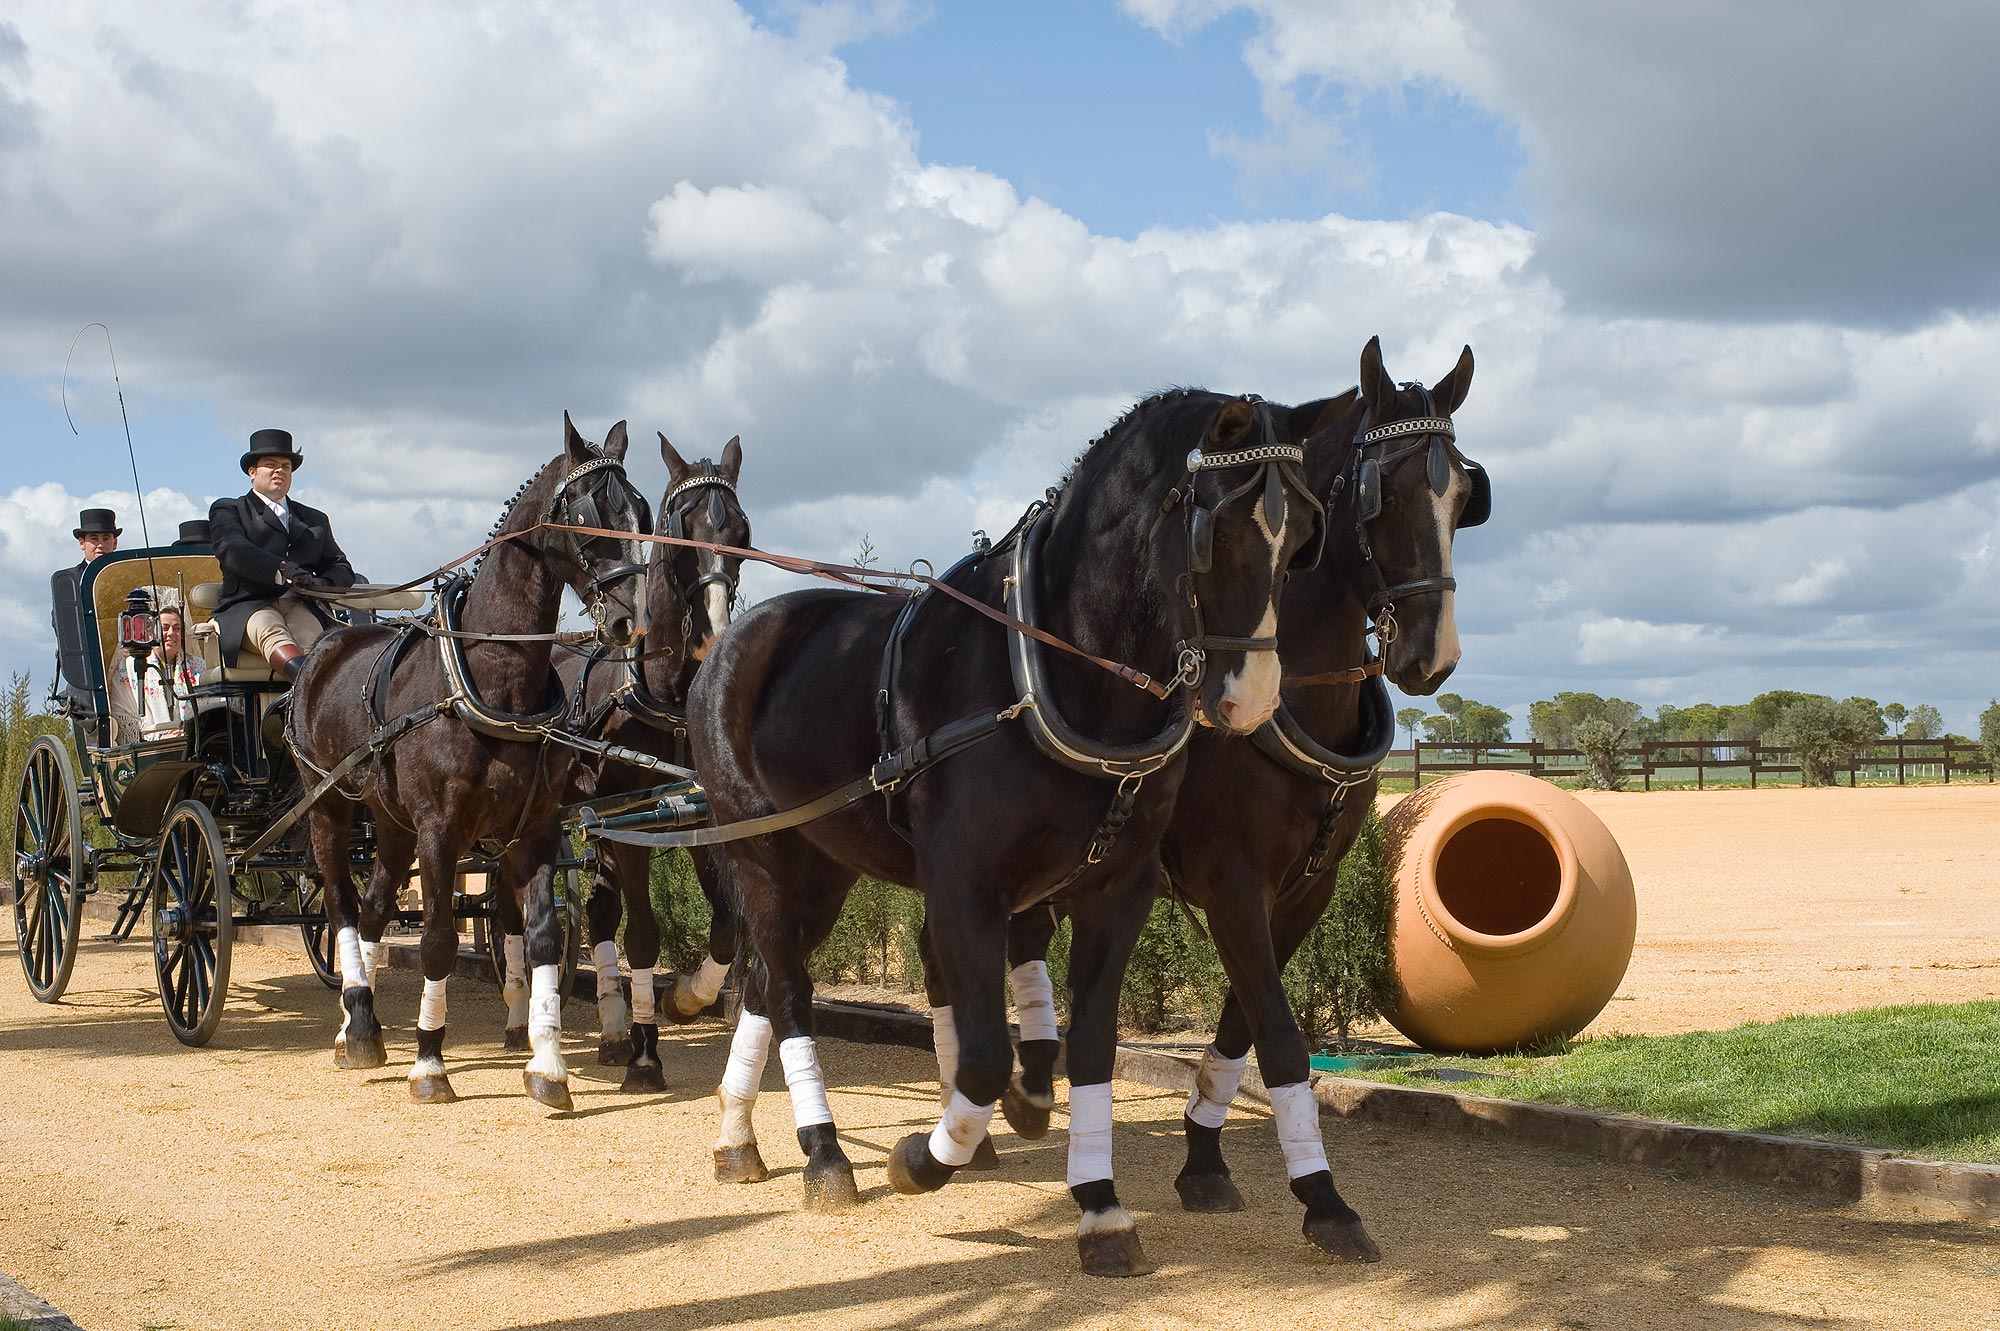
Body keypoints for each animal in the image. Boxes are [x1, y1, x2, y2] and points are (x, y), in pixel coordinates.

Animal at [289, 415, 651, 1109]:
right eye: (589, 513)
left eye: (641, 513)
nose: (629, 621)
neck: (492, 678)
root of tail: (324, 645)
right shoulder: (440, 830)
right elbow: (434, 941)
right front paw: (430, 1063)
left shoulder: (534, 829)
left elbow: (542, 939)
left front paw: (548, 1065)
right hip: (330, 810)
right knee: (343, 906)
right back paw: (357, 1021)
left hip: (391, 823)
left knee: (373, 908)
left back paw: (360, 1024)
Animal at [535, 432, 751, 1094]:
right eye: (681, 529)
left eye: (742, 530)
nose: (713, 634)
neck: (665, 697)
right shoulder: (628, 832)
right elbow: (646, 935)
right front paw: (647, 1055)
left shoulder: (696, 820)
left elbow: (727, 924)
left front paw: (687, 998)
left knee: (600, 912)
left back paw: (610, 1029)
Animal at [683, 388, 1325, 1277]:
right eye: (1217, 529)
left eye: (1299, 540)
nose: (1253, 700)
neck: (1048, 670)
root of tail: (732, 637)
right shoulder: (963, 885)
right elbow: (985, 1055)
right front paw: (922, 1158)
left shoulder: (1118, 889)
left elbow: (1090, 1046)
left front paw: (1100, 1205)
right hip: (762, 850)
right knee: (785, 986)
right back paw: (825, 1152)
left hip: (824, 862)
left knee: (763, 979)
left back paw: (738, 1137)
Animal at [973, 336, 1487, 1265]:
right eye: (1383, 491)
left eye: (1464, 495)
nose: (1433, 656)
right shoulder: (1229, 879)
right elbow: (1279, 1032)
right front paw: (1324, 1198)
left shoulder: (1305, 887)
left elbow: (1241, 1025)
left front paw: (1204, 1156)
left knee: (1026, 936)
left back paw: (1030, 1085)